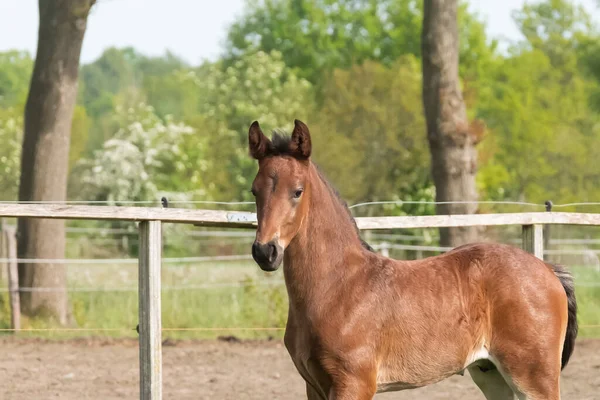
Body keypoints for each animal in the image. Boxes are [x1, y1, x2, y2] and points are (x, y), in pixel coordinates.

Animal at [247, 119, 576, 400]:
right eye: (254, 190)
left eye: (297, 191)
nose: (265, 251)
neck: (337, 286)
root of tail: (548, 269)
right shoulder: (313, 386)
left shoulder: (353, 383)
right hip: (491, 374)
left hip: (534, 376)